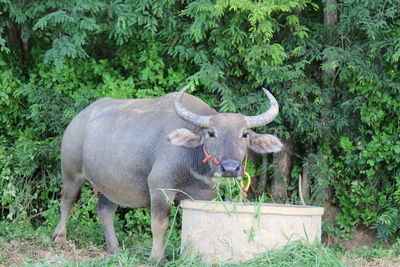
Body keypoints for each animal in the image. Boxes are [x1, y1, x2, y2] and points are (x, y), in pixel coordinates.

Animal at [52, 86, 284, 262]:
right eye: (211, 133)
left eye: (244, 134)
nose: (230, 168)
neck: (192, 164)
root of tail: (78, 119)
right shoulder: (159, 187)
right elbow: (159, 224)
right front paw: (158, 257)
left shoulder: (202, 197)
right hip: (71, 173)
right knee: (67, 201)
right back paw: (59, 239)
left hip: (111, 184)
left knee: (105, 211)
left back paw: (115, 249)